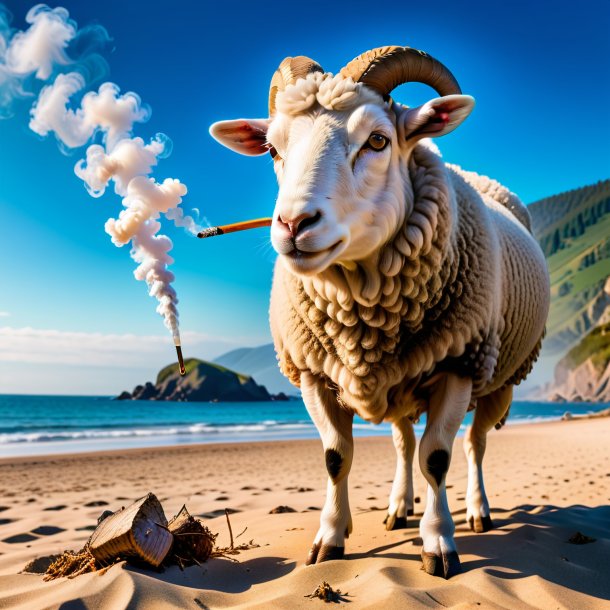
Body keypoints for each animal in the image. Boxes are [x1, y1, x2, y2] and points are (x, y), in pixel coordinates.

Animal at [209, 46, 548, 576]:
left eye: (377, 140)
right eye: (273, 150)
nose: (293, 224)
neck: (364, 318)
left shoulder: (459, 362)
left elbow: (437, 458)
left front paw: (438, 542)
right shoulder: (313, 372)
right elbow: (336, 457)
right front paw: (330, 537)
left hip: (499, 375)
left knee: (474, 445)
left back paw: (477, 511)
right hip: (403, 380)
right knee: (404, 444)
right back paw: (398, 507)